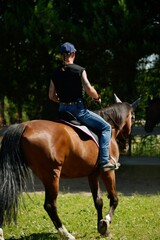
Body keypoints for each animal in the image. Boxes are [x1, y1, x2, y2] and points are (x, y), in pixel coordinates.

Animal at [0, 95, 139, 240]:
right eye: (133, 117)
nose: (125, 143)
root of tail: (24, 125)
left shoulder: (93, 174)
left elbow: (98, 201)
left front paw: (102, 227)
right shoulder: (108, 171)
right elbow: (114, 199)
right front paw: (105, 222)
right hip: (52, 175)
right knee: (50, 205)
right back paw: (66, 234)